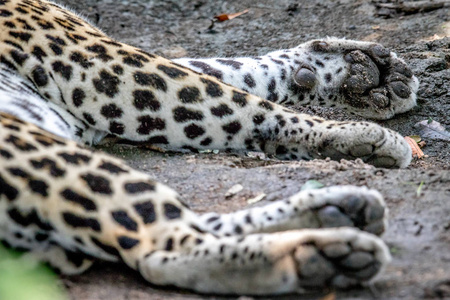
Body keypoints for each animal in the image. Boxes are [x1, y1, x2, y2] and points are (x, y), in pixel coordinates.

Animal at [0, 0, 418, 296]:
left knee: (193, 224)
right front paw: (354, 132)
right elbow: (237, 99)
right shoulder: (97, 63)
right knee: (160, 249)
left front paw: (359, 75)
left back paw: (338, 209)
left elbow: (227, 71)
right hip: (42, 152)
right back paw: (320, 253)